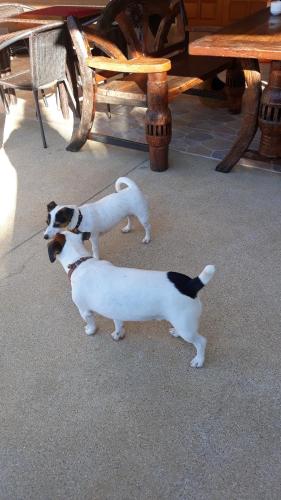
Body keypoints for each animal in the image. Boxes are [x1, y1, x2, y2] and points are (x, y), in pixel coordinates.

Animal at [47, 231, 214, 368]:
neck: (80, 262)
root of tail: (190, 284)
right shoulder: (115, 311)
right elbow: (118, 324)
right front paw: (118, 334)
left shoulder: (84, 310)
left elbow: (91, 323)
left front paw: (90, 330)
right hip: (181, 322)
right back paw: (176, 333)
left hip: (186, 327)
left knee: (201, 342)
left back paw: (199, 360)